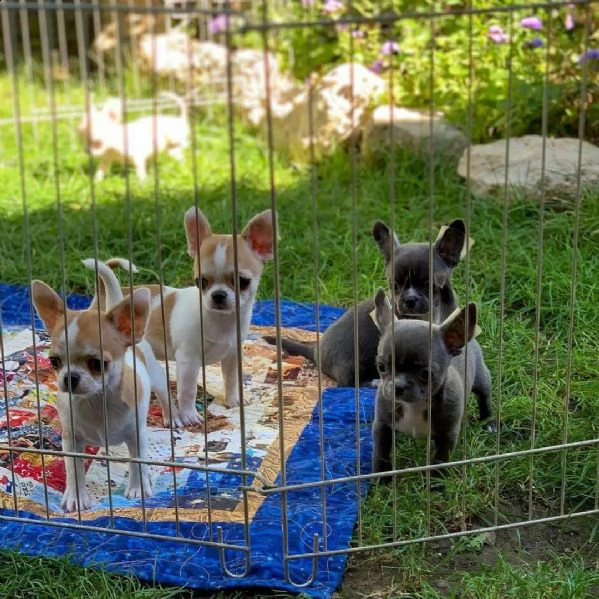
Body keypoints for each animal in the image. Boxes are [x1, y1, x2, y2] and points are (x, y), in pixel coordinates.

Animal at [32, 260, 169, 512]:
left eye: (97, 364)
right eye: (54, 361)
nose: (70, 377)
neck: (97, 401)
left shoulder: (137, 435)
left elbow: (137, 462)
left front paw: (138, 488)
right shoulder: (72, 439)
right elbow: (74, 470)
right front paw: (76, 497)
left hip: (156, 376)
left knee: (164, 395)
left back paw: (173, 417)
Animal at [266, 220, 468, 390]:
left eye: (428, 285)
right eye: (394, 286)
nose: (409, 300)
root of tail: (315, 351)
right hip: (349, 363)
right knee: (350, 384)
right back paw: (374, 382)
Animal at [370, 288, 496, 480]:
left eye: (426, 374)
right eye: (381, 367)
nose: (398, 385)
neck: (415, 405)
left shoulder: (447, 435)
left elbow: (439, 461)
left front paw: (437, 482)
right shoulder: (382, 425)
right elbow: (381, 453)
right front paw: (382, 478)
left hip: (482, 379)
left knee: (485, 398)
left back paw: (488, 422)